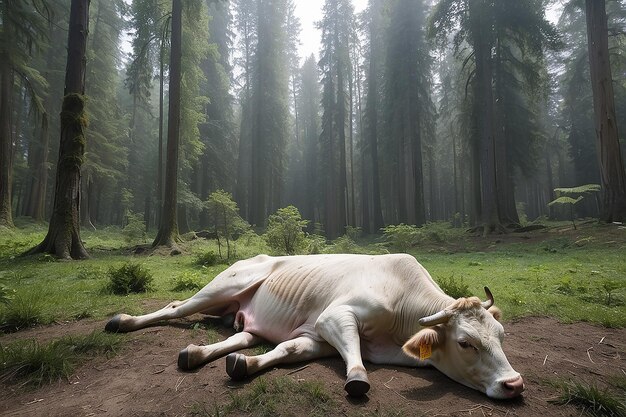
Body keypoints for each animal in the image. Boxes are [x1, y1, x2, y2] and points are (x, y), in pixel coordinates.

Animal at [105, 252, 524, 398]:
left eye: (502, 336)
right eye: (466, 343)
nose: (514, 384)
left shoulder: (314, 334)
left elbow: (289, 349)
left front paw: (248, 366)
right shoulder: (333, 317)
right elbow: (352, 349)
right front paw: (357, 376)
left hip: (245, 316)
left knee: (242, 337)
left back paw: (201, 354)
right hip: (224, 285)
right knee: (175, 307)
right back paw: (121, 321)